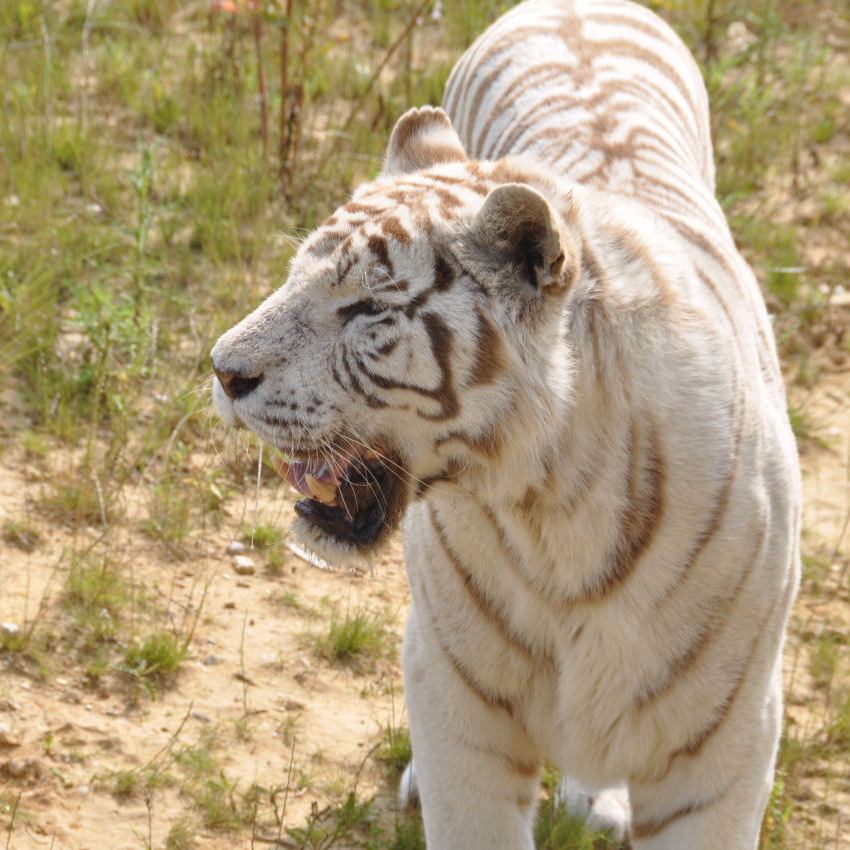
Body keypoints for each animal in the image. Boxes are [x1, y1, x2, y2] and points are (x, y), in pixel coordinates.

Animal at [210, 0, 801, 847]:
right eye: (294, 278)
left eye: (366, 308)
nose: (223, 371)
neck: (556, 511)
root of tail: (572, 7)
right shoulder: (460, 704)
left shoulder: (725, 740)